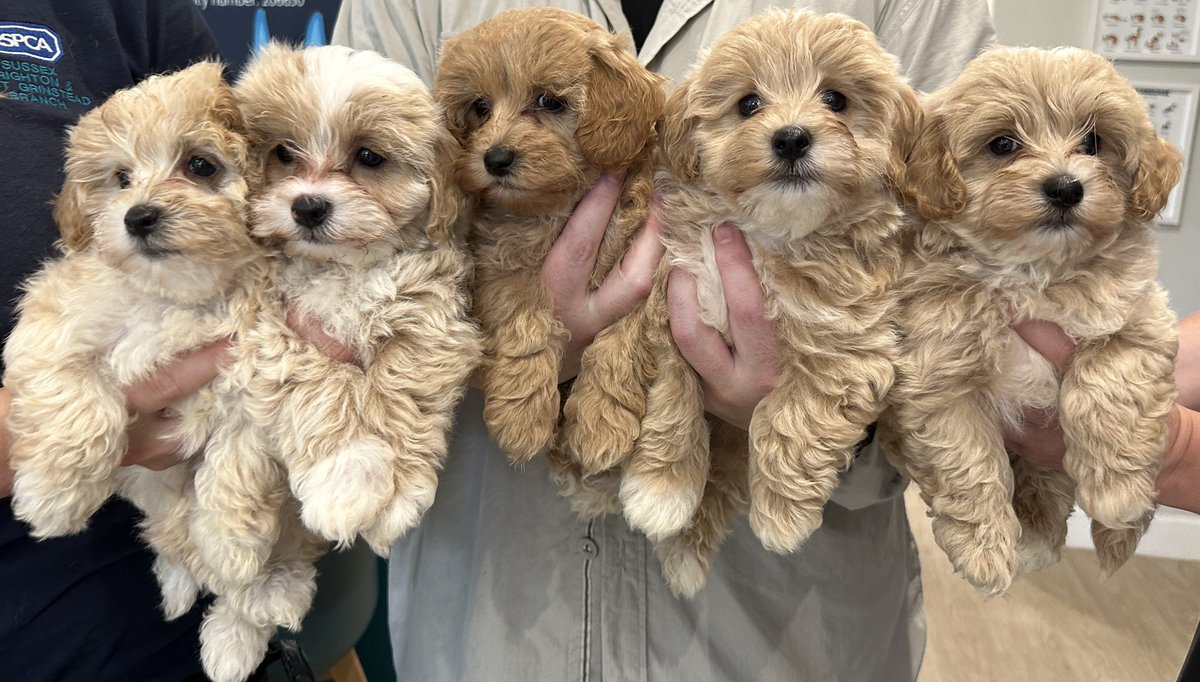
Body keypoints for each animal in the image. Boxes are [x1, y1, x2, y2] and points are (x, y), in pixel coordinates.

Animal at [229, 45, 477, 561]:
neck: (345, 268)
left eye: (369, 156)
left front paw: (396, 496)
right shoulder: (279, 325)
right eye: (284, 152)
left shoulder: (430, 317)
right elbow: (317, 384)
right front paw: (346, 477)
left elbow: (401, 386)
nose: (308, 206)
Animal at [633, 12, 912, 595]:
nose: (791, 137)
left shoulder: (846, 343)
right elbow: (672, 395)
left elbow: (795, 418)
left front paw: (783, 516)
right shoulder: (679, 295)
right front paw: (662, 488)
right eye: (748, 104)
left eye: (835, 99)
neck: (769, 232)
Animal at [892, 45, 1180, 593]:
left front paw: (1117, 492)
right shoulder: (939, 379)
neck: (1033, 270)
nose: (1065, 187)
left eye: (1093, 142)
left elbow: (1106, 382)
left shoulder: (1140, 322)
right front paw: (983, 550)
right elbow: (967, 462)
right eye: (1003, 144)